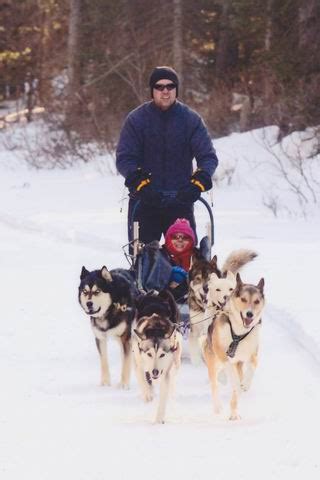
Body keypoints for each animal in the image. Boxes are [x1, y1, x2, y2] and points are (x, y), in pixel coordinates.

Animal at [132, 288, 182, 424]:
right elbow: (143, 381)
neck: (155, 328)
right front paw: (148, 395)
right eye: (149, 354)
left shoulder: (165, 372)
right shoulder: (138, 364)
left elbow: (164, 396)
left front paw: (159, 419)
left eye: (162, 354)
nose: (155, 371)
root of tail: (156, 295)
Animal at [202, 274, 264, 420]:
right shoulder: (223, 355)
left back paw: (234, 413)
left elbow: (252, 366)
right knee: (215, 385)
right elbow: (232, 376)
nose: (249, 314)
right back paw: (218, 407)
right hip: (213, 363)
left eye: (257, 301)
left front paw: (245, 383)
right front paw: (236, 383)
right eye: (243, 299)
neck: (239, 332)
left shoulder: (251, 354)